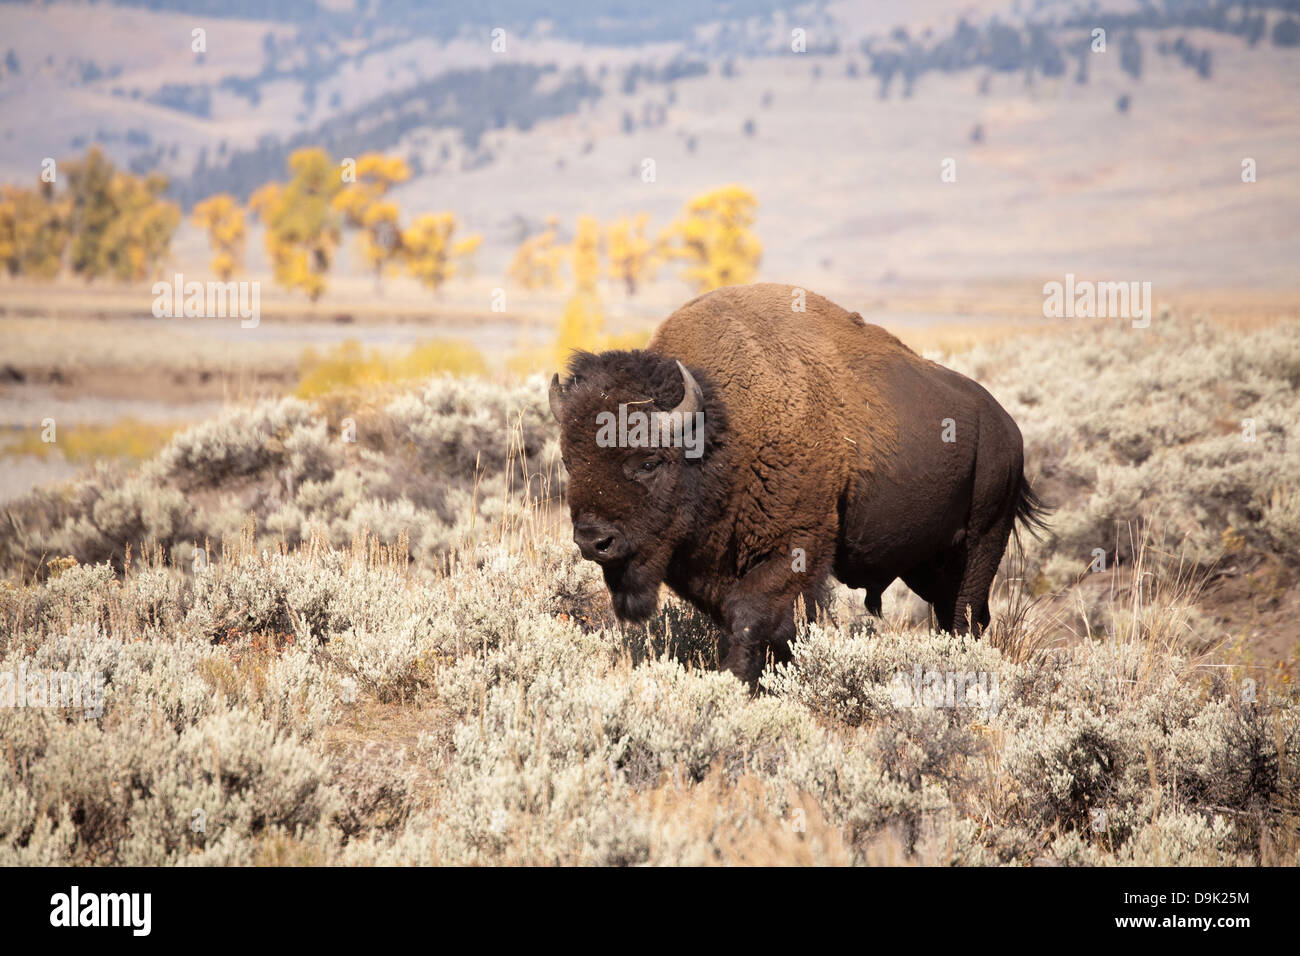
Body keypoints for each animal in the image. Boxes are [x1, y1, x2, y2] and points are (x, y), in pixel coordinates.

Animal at [546, 283, 1045, 686]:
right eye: (570, 460)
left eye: (648, 461)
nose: (594, 541)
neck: (720, 427)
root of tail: (1009, 428)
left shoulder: (797, 545)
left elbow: (750, 615)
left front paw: (736, 683)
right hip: (925, 561)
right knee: (953, 611)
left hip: (983, 540)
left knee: (966, 614)